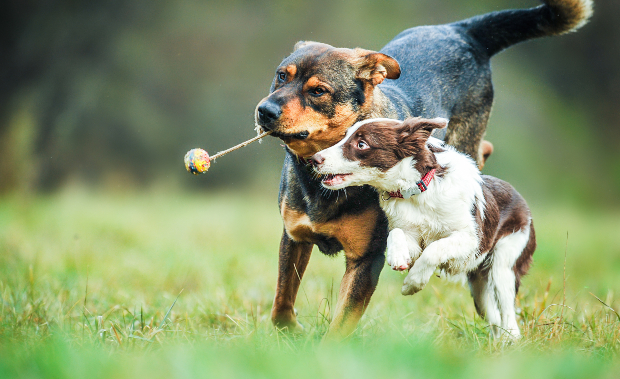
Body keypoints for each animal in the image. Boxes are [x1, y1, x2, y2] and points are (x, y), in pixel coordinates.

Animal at [312, 118, 536, 338]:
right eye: (344, 136)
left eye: (361, 144)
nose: (314, 159)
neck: (417, 191)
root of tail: (524, 204)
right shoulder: (412, 234)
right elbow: (396, 233)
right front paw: (398, 257)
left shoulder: (472, 239)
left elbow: (434, 249)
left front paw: (412, 284)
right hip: (480, 287)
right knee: (494, 317)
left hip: (504, 264)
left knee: (508, 317)